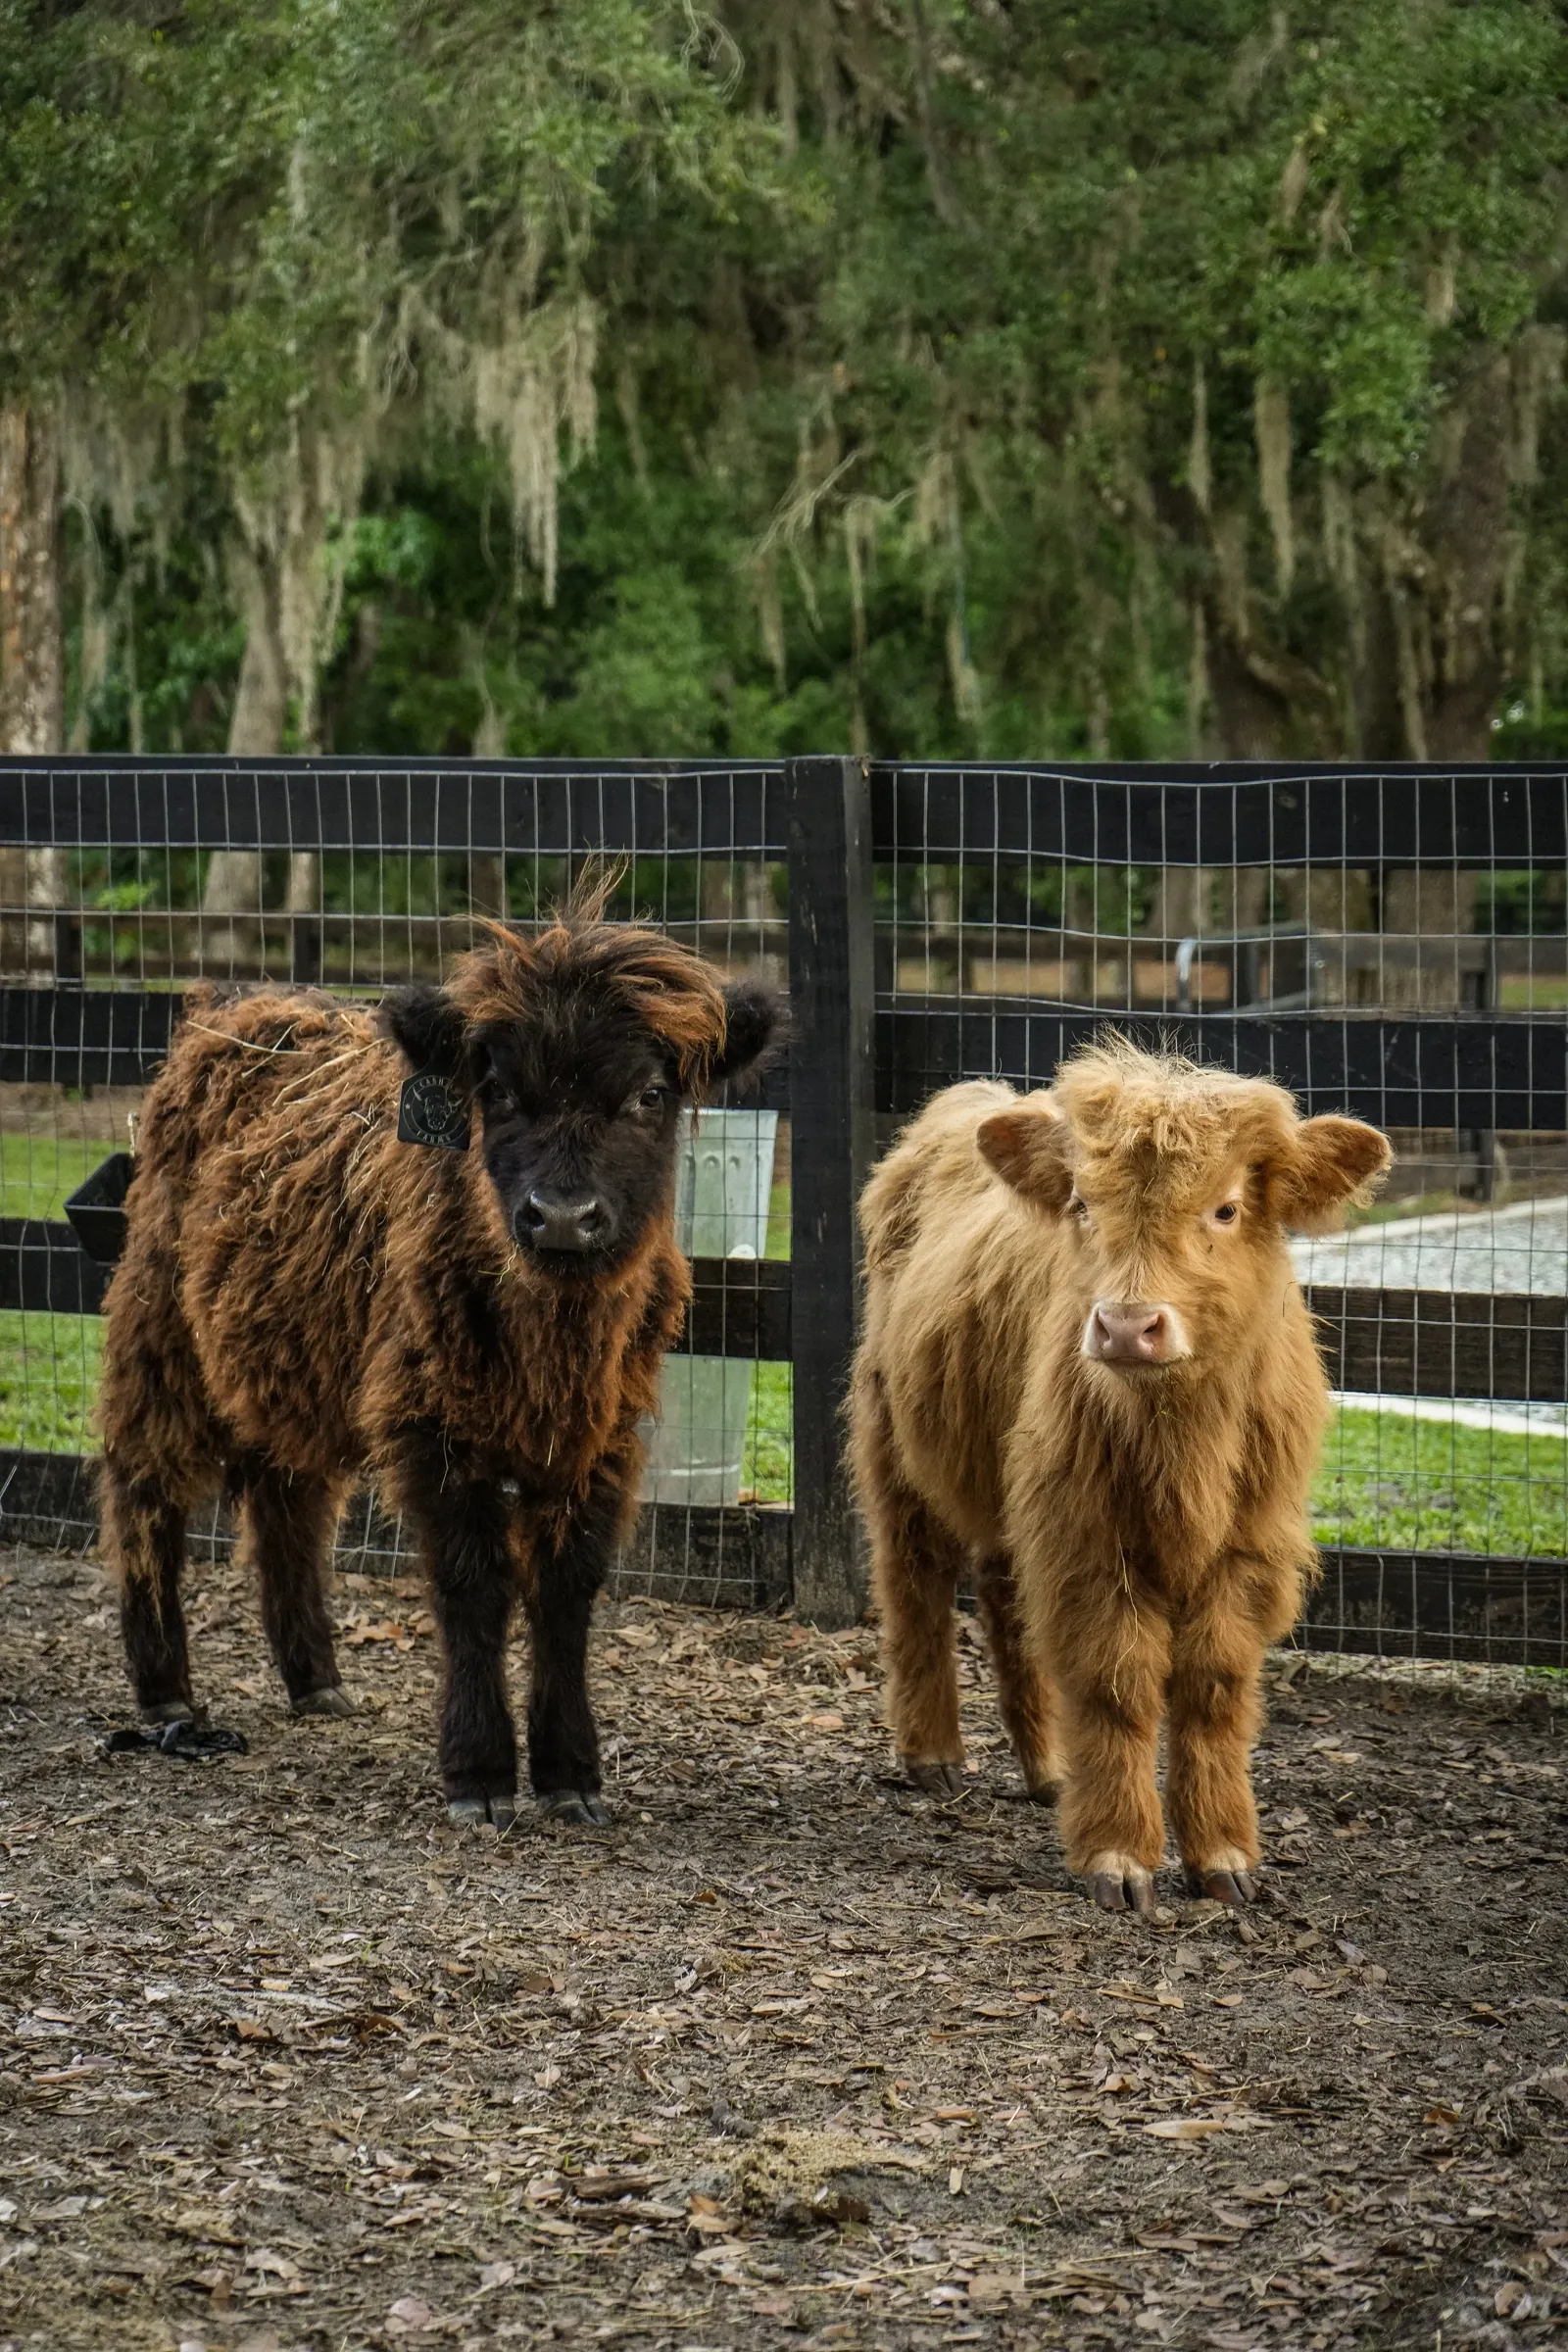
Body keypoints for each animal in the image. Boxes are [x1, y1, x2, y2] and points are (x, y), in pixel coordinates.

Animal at [98, 884, 782, 1827]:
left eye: (650, 1093)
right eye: (498, 1089)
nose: (562, 1216)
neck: (552, 1340)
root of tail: (231, 1012)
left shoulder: (603, 1438)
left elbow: (567, 1590)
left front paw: (570, 1775)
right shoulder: (434, 1428)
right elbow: (473, 1585)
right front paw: (481, 1776)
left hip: (293, 1358)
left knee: (287, 1504)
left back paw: (317, 1682)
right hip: (160, 1338)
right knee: (146, 1488)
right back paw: (167, 1694)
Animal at [849, 1040, 1390, 1916]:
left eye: (1226, 1209)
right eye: (1081, 1204)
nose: (1128, 1327)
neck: (1180, 1441)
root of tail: (969, 1102)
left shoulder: (1249, 1544)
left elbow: (1211, 1686)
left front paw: (1223, 1855)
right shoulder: (1089, 1540)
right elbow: (1117, 1684)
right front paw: (1119, 1856)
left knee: (1005, 1600)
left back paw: (1048, 1770)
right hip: (896, 1443)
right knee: (916, 1583)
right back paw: (933, 1754)